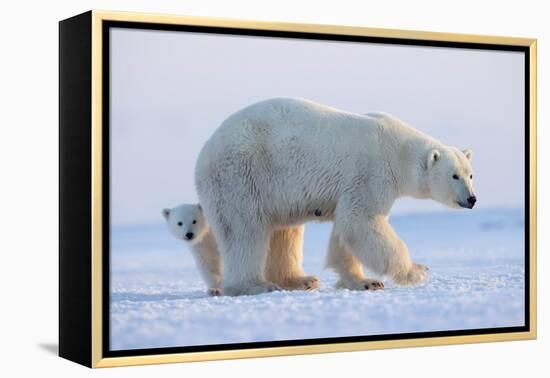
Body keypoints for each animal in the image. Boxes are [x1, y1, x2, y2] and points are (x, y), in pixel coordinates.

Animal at [195, 97, 478, 296]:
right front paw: (417, 271)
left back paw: (301, 280)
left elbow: (345, 231)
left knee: (284, 231)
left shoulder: (351, 187)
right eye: (454, 176)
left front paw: (364, 281)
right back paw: (255, 285)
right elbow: (361, 221)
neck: (399, 151)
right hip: (241, 175)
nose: (472, 199)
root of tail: (204, 152)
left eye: (470, 174)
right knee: (245, 230)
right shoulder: (371, 173)